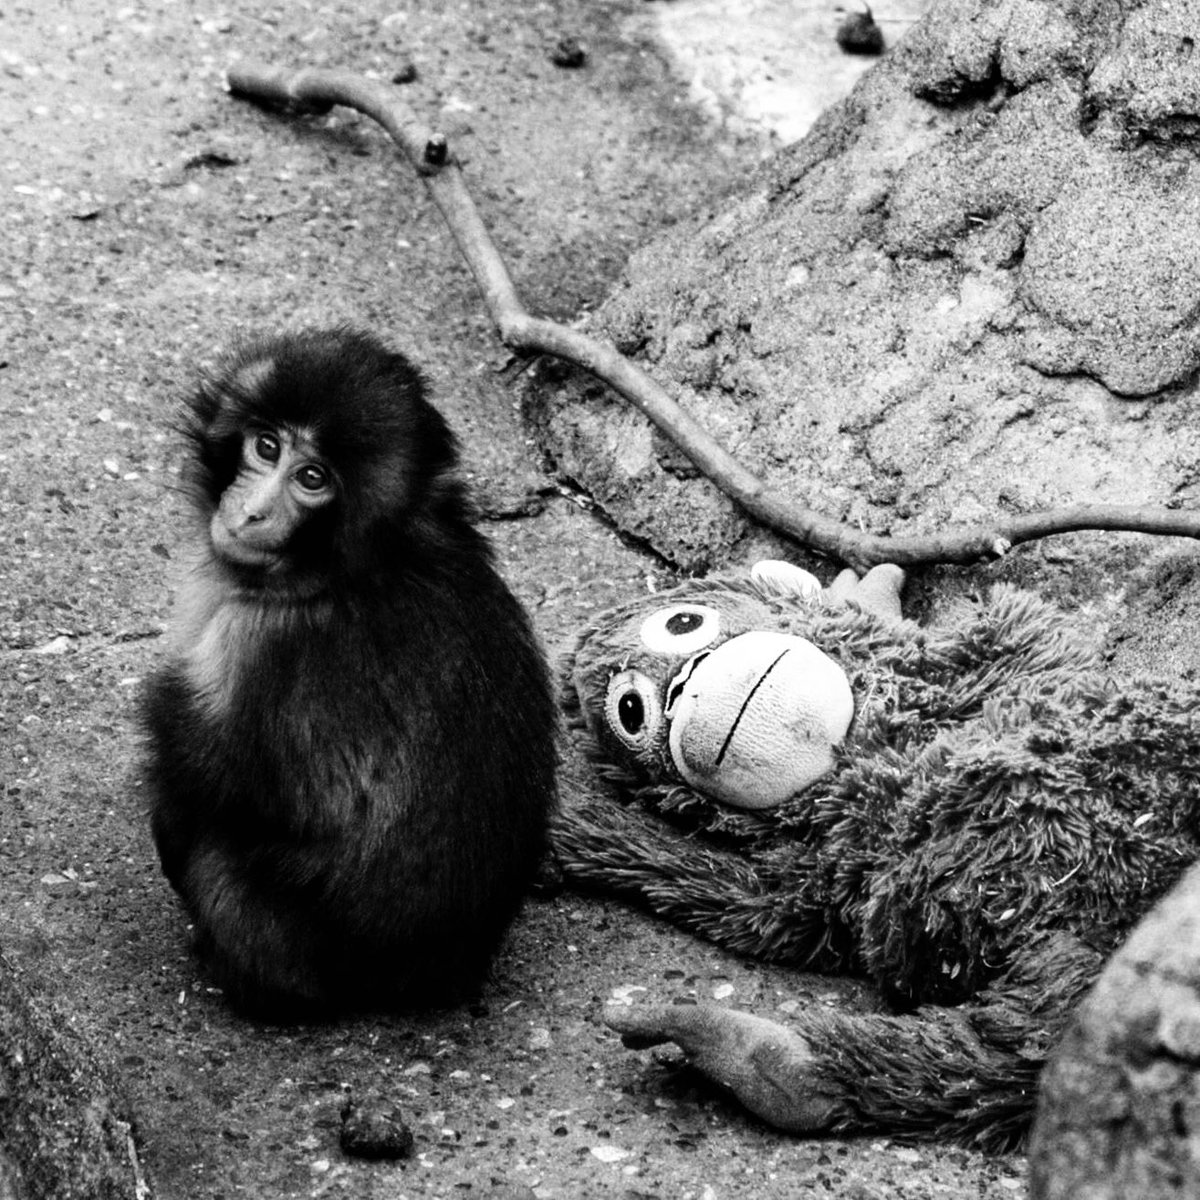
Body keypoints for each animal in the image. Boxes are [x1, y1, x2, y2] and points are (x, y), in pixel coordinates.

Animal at [142, 327, 558, 1019]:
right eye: (266, 446)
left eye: (312, 479)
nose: (252, 512)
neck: (354, 568)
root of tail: (436, 977)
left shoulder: (254, 641)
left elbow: (202, 781)